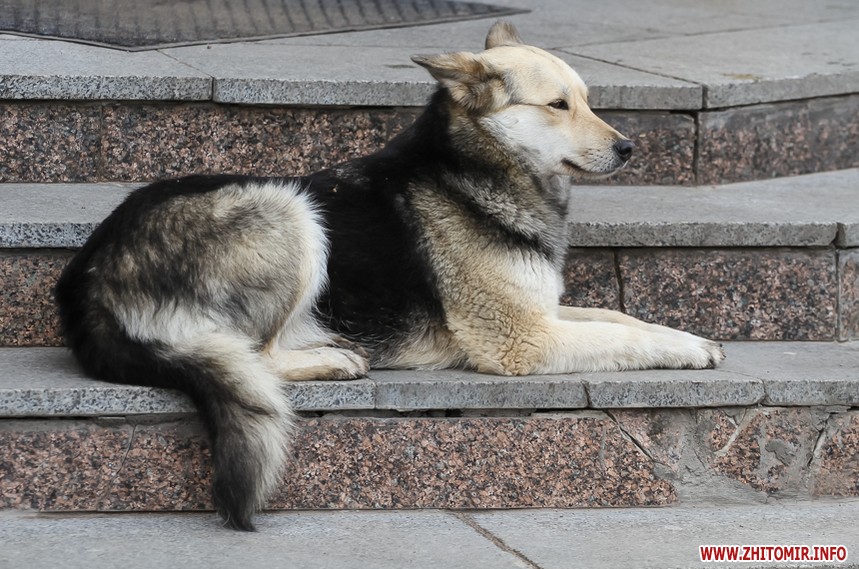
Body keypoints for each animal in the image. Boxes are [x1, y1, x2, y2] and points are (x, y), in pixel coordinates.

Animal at [55, 21, 725, 531]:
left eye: (587, 100)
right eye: (558, 105)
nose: (630, 148)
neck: (476, 170)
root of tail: (90, 278)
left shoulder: (543, 310)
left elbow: (620, 317)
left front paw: (689, 337)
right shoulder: (521, 339)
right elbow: (623, 337)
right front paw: (687, 350)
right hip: (289, 211)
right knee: (255, 355)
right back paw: (330, 359)